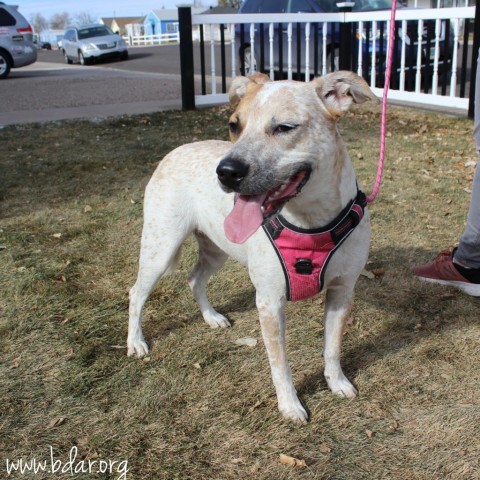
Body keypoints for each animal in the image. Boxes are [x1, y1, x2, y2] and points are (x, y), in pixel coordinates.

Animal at [127, 71, 376, 424]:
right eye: (234, 125)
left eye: (284, 127)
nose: (226, 172)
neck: (310, 222)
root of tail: (176, 149)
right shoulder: (269, 302)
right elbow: (280, 363)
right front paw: (290, 405)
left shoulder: (342, 292)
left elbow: (332, 347)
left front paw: (336, 382)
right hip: (160, 247)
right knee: (137, 292)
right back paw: (135, 342)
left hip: (216, 249)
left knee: (195, 278)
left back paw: (211, 317)